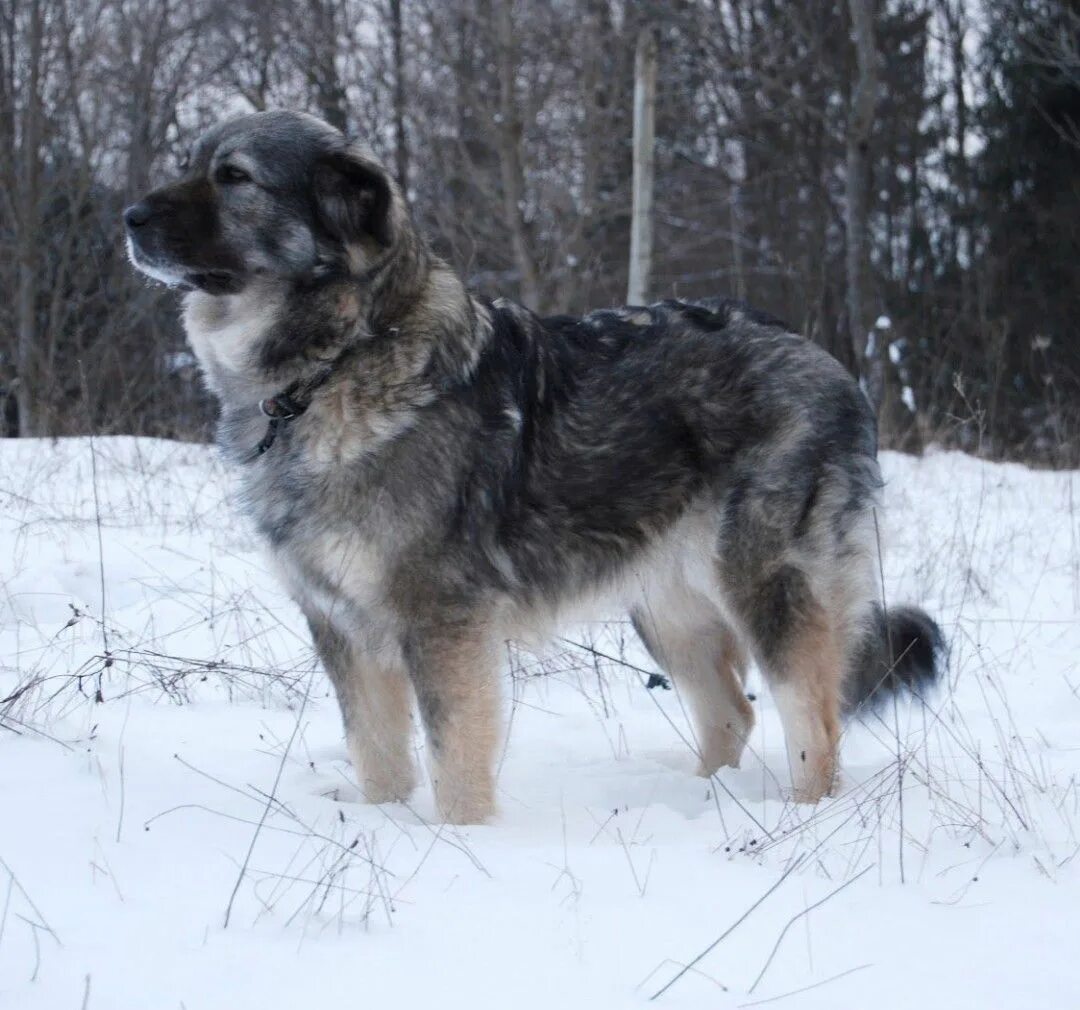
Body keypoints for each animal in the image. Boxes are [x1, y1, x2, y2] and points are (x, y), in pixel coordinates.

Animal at [124, 110, 937, 820]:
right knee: (732, 714)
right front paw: (385, 826)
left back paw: (794, 824)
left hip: (765, 585)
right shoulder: (342, 627)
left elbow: (454, 757)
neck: (338, 360)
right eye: (190, 164)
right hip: (667, 606)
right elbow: (377, 754)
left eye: (235, 177)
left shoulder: (441, 624)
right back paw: (704, 803)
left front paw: (460, 844)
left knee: (814, 727)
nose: (128, 216)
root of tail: (830, 364)